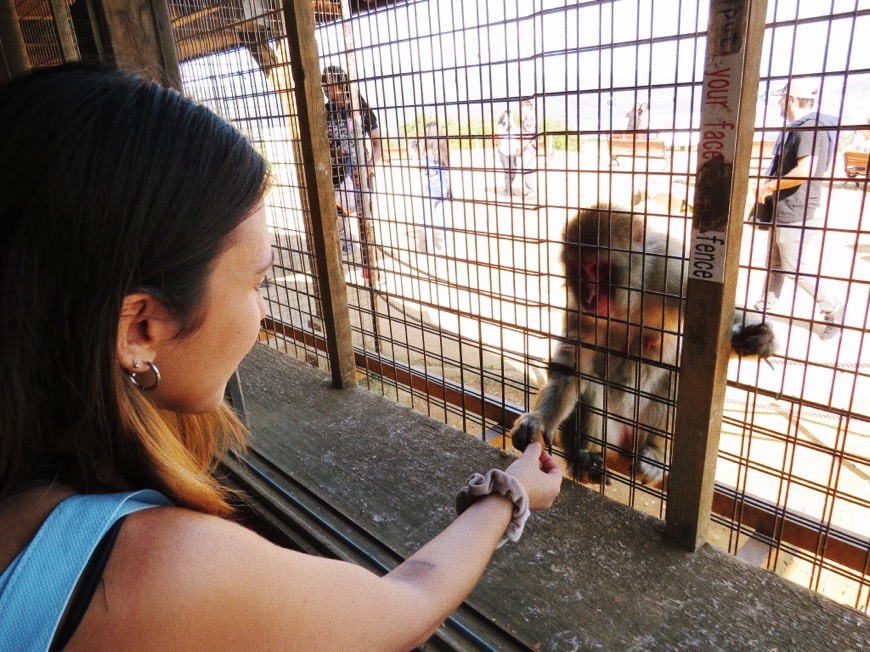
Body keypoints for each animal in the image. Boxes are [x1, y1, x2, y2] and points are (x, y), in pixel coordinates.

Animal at [510, 204, 776, 484]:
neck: (630, 299)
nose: (590, 297)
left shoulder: (671, 269)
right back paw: (588, 461)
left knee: (674, 380)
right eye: (579, 269)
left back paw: (655, 453)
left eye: (599, 268)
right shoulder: (578, 307)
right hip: (613, 432)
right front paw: (539, 421)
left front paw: (757, 339)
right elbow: (572, 366)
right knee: (591, 382)